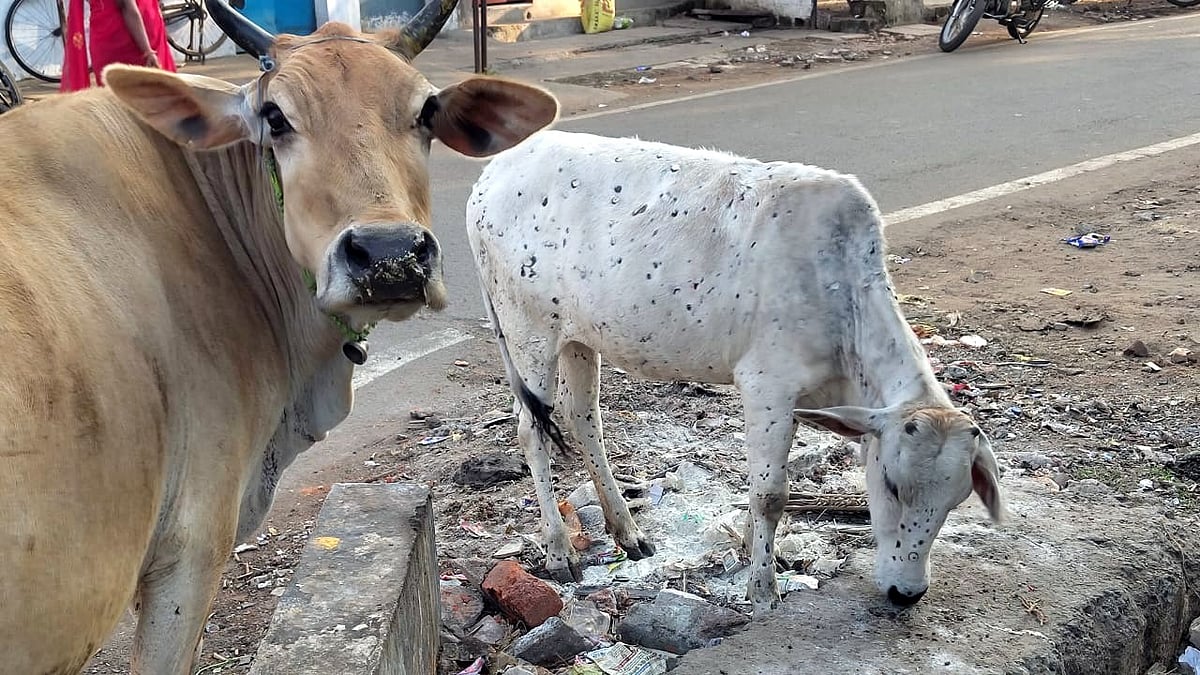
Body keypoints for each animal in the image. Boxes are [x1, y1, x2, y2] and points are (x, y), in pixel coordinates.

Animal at [465, 129, 1003, 616]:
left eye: (957, 500)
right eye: (891, 484)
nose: (906, 594)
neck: (840, 293)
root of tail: (491, 175)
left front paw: (759, 554)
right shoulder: (768, 387)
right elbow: (770, 494)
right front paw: (762, 589)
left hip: (580, 338)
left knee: (583, 417)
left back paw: (629, 532)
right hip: (529, 332)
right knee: (531, 430)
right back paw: (558, 550)